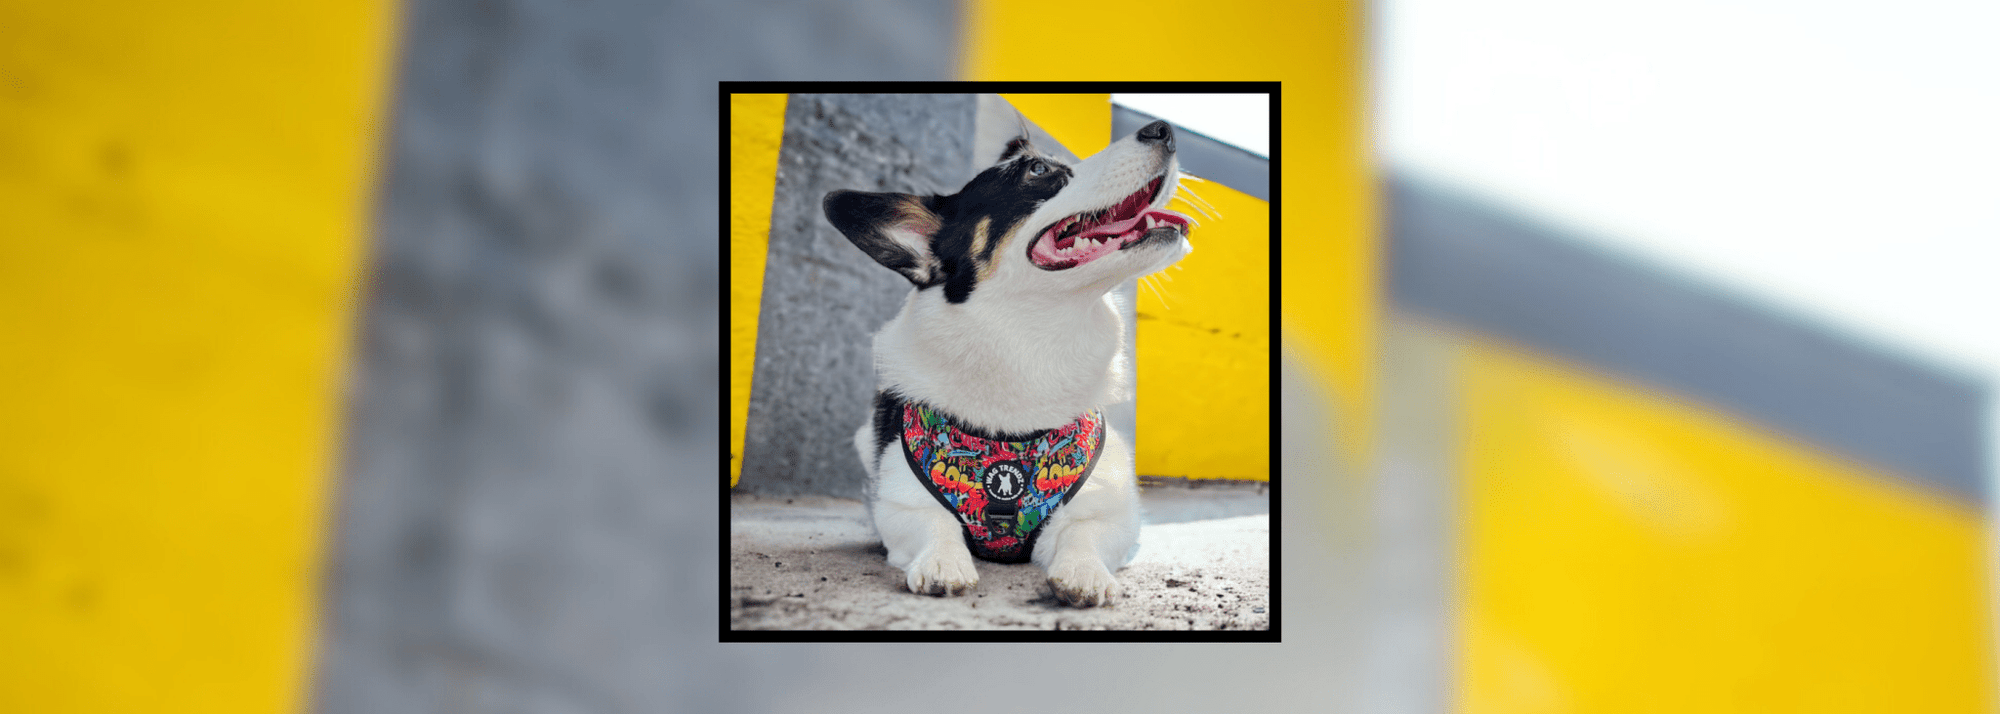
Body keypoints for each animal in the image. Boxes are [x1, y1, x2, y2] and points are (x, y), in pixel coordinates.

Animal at [824, 118, 1184, 608]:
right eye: (1038, 170)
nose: (1163, 129)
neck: (1030, 343)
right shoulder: (902, 503)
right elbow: (934, 525)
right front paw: (943, 563)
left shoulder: (1110, 513)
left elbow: (1085, 534)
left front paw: (1084, 573)